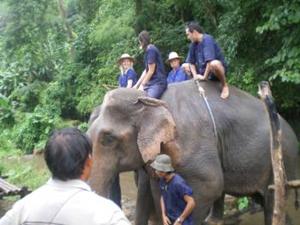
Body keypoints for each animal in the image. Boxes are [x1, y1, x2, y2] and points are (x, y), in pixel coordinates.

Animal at [86, 81, 298, 225]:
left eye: (108, 139)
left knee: (272, 199)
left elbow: (210, 186)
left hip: (283, 160)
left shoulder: (188, 142)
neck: (150, 99)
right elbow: (151, 193)